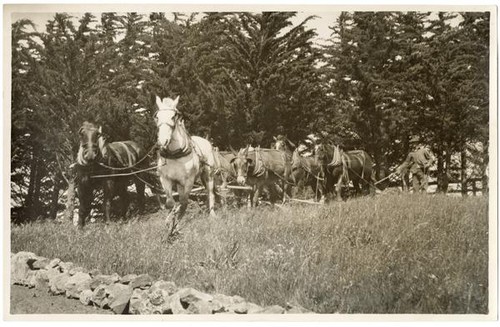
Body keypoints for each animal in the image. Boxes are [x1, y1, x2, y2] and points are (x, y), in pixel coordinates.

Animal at [154, 95, 217, 228]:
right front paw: (170, 220)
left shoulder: (189, 181)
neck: (175, 155)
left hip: (208, 174)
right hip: (179, 184)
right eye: (157, 117)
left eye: (173, 116)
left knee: (210, 193)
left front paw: (176, 224)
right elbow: (170, 202)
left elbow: (184, 203)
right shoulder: (165, 179)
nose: (162, 141)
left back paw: (212, 214)